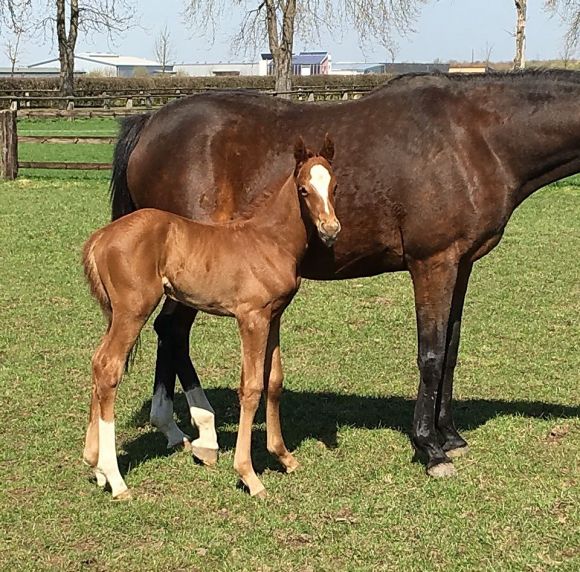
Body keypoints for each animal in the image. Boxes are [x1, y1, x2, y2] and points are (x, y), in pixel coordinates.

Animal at [84, 136, 342, 498]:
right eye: (304, 189)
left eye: (334, 186)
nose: (331, 229)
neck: (268, 239)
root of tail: (100, 238)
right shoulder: (251, 318)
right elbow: (251, 387)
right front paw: (249, 475)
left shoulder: (274, 316)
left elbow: (274, 381)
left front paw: (284, 457)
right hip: (132, 311)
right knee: (109, 367)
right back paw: (116, 479)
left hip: (117, 313)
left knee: (98, 363)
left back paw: (96, 467)